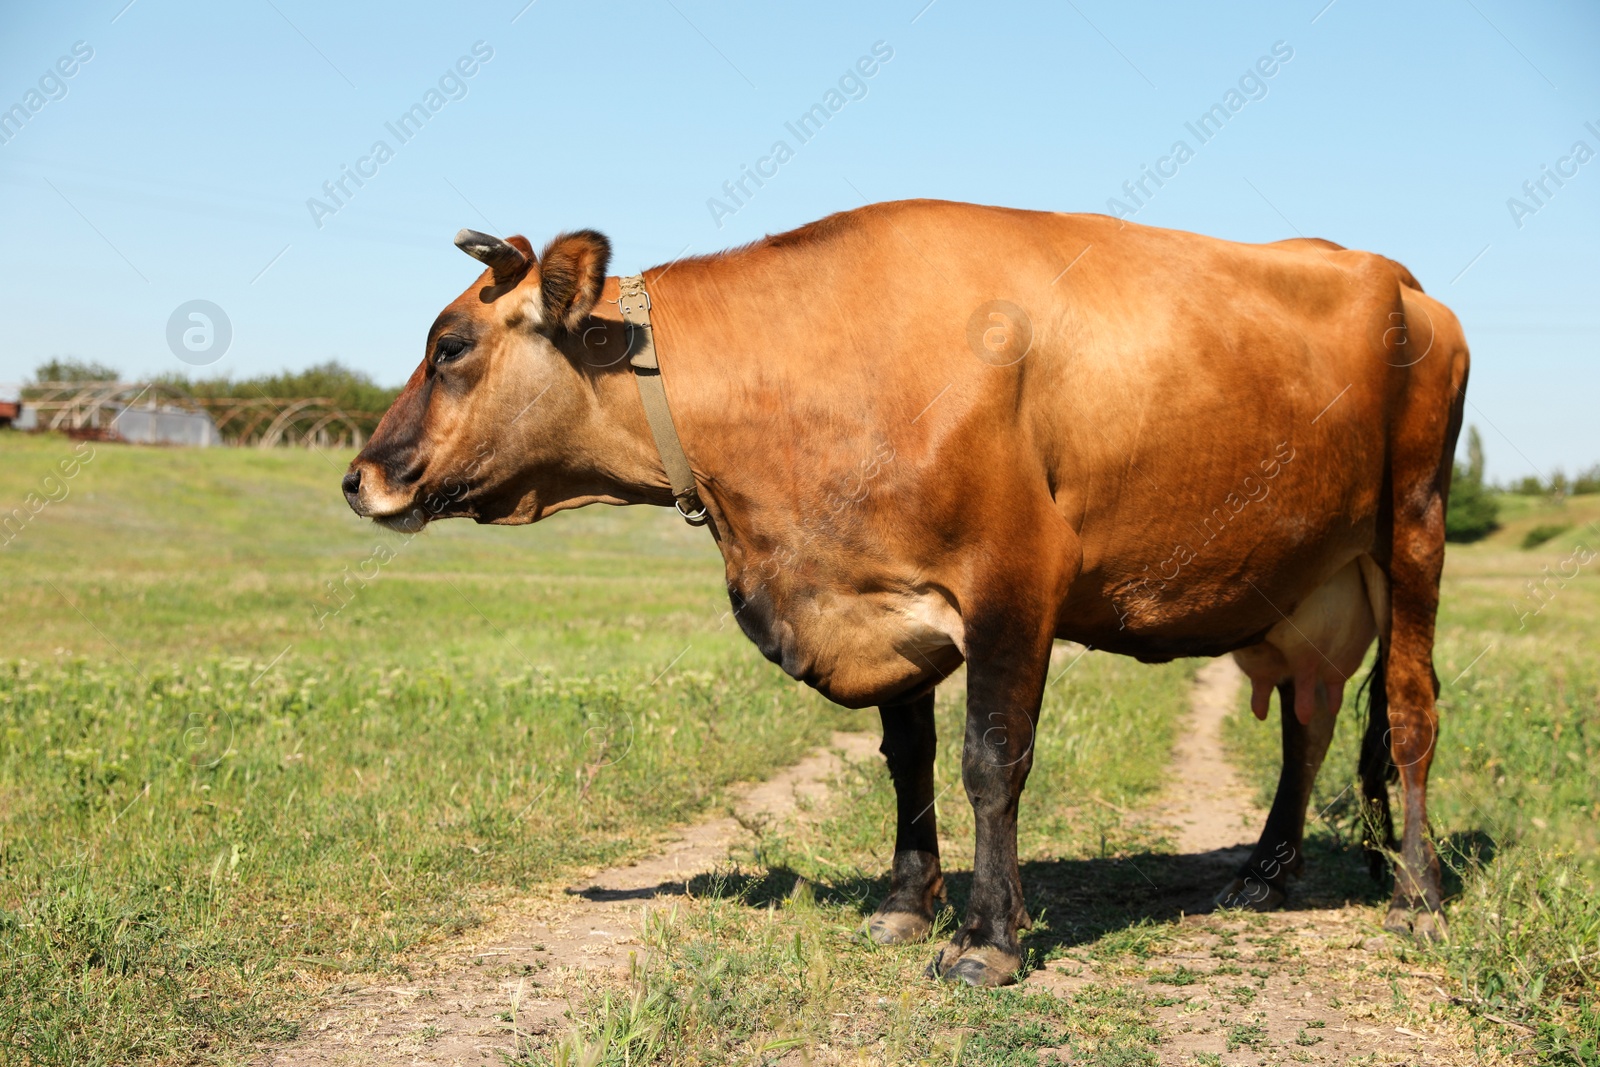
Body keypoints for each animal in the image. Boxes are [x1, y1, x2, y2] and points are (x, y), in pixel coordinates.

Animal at [344, 198, 1465, 985]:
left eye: (450, 347)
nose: (360, 478)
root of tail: (1401, 279)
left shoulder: (1016, 579)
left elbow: (988, 762)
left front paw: (986, 937)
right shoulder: (881, 600)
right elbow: (907, 759)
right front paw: (903, 900)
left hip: (1411, 526)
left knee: (1409, 712)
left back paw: (1414, 890)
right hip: (1308, 578)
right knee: (1312, 719)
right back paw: (1264, 869)